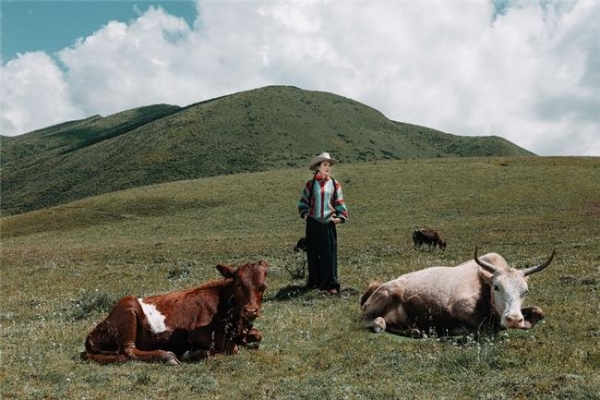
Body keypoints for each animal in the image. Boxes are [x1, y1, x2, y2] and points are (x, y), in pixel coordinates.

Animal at [81, 260, 268, 364]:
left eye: (263, 287)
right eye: (238, 284)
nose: (251, 310)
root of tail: (91, 334)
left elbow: (258, 335)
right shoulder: (194, 334)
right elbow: (231, 347)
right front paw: (195, 353)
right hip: (128, 307)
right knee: (128, 351)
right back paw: (167, 356)